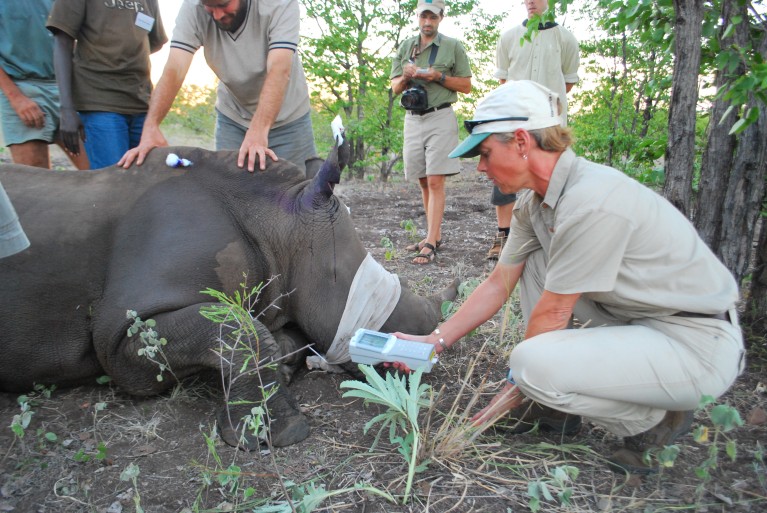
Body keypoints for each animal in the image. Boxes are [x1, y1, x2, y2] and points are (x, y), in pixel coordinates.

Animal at [0, 144, 456, 449]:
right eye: (355, 286)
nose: (421, 355)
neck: (278, 221)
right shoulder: (120, 334)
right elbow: (241, 328)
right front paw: (276, 432)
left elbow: (267, 331)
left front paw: (284, 363)